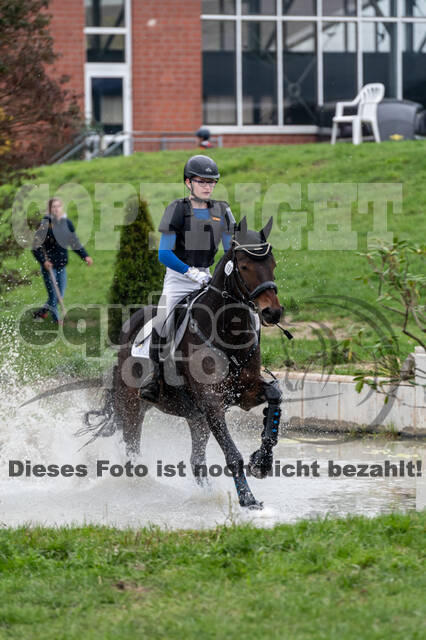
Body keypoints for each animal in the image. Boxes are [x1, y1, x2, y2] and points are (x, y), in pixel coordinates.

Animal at [84, 217, 284, 509]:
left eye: (273, 264)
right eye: (245, 266)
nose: (273, 312)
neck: (226, 331)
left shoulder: (244, 392)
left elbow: (275, 396)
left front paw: (262, 461)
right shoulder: (212, 402)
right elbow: (232, 454)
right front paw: (248, 500)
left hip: (195, 417)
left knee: (196, 461)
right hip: (132, 405)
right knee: (132, 450)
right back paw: (139, 492)